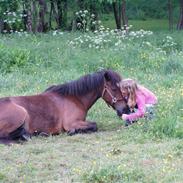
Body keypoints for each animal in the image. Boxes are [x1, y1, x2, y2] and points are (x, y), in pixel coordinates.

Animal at [0, 69, 129, 142]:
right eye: (114, 89)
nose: (126, 110)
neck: (74, 98)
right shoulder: (71, 123)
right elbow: (94, 125)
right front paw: (72, 132)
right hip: (22, 113)